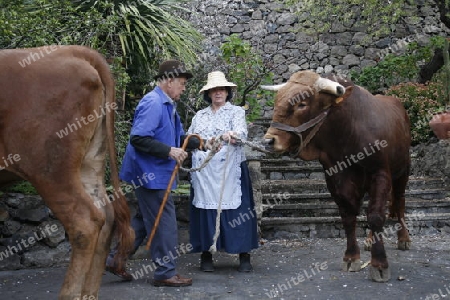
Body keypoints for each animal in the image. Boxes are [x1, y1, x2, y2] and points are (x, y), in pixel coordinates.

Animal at [262, 70, 414, 282]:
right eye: (276, 102)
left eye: (302, 104)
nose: (268, 141)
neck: (348, 132)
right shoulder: (335, 176)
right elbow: (348, 215)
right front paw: (351, 257)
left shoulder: (380, 173)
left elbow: (376, 216)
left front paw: (379, 264)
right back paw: (369, 240)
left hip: (402, 171)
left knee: (399, 203)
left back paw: (404, 239)